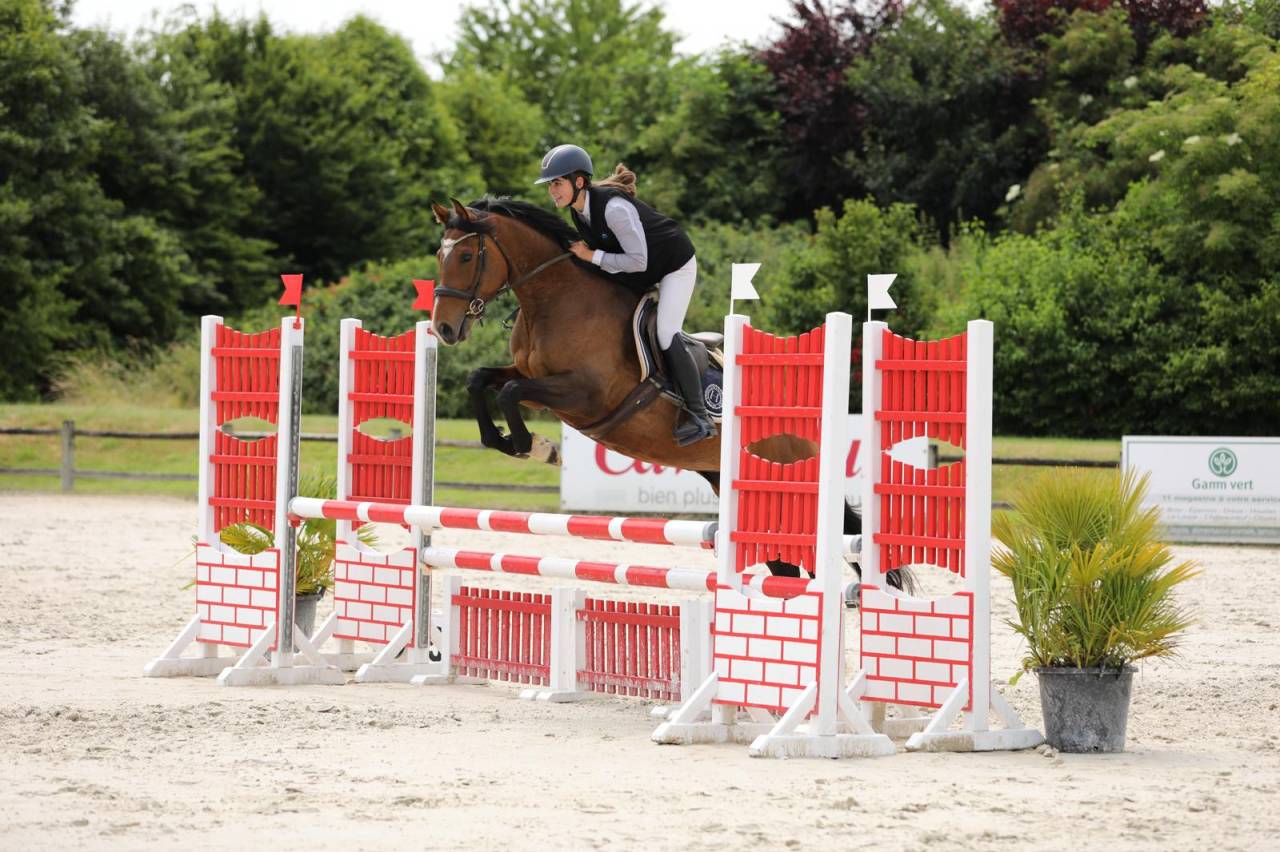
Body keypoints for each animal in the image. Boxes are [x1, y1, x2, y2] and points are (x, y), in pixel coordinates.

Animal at [429, 198, 910, 591]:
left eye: (467, 255)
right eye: (439, 255)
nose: (444, 329)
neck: (556, 300)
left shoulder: (585, 394)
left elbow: (509, 392)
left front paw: (536, 447)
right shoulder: (537, 383)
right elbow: (482, 380)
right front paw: (503, 440)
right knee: (786, 570)